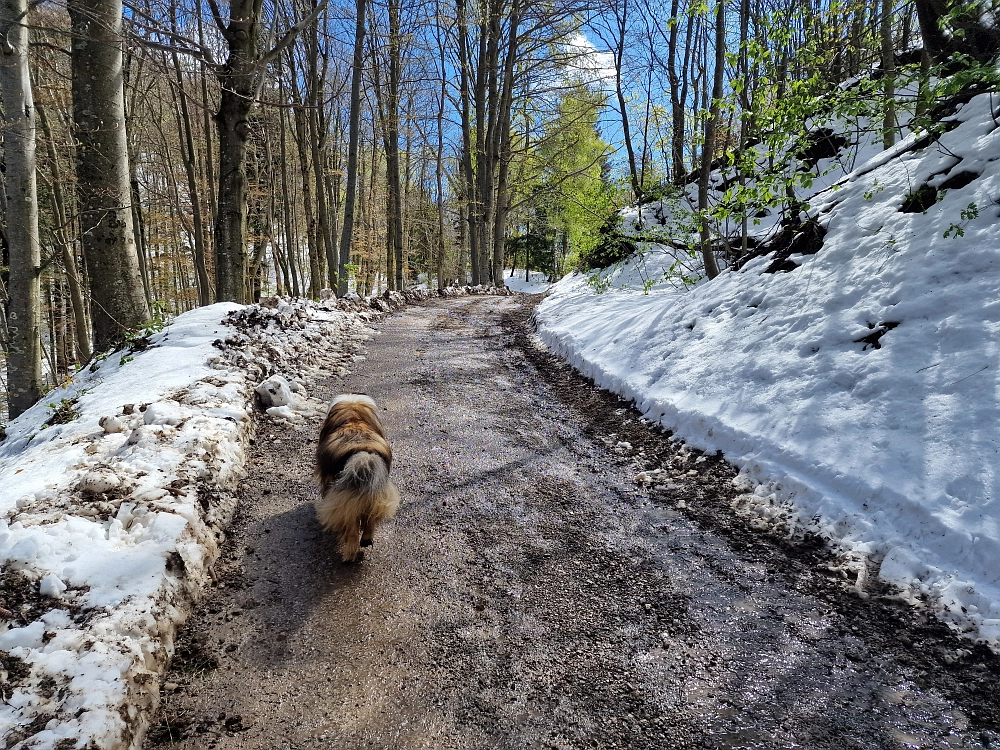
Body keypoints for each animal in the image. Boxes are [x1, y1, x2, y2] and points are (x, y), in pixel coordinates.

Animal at [316, 396, 402, 560]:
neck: (354, 419)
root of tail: (364, 455)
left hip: (346, 502)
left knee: (352, 530)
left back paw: (350, 555)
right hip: (376, 495)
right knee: (371, 520)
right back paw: (366, 540)